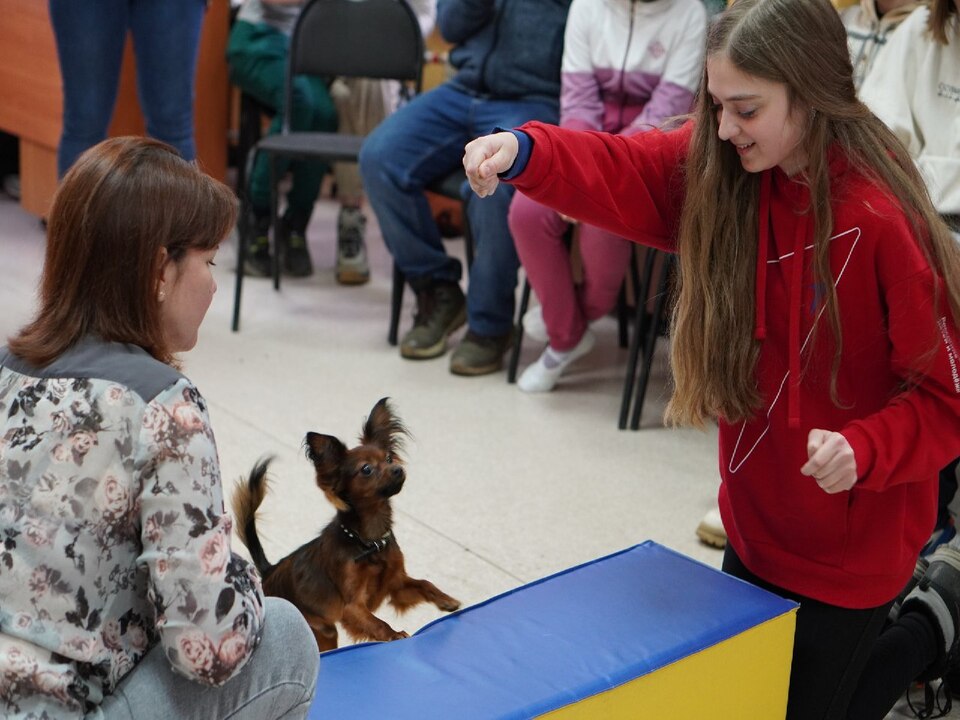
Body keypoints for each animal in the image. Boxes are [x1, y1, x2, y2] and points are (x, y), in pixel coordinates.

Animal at [231, 396, 460, 648]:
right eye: (366, 469)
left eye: (389, 458)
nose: (398, 469)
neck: (368, 542)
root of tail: (269, 570)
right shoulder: (353, 607)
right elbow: (378, 624)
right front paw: (394, 635)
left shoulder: (397, 583)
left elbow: (424, 583)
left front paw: (446, 600)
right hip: (326, 630)